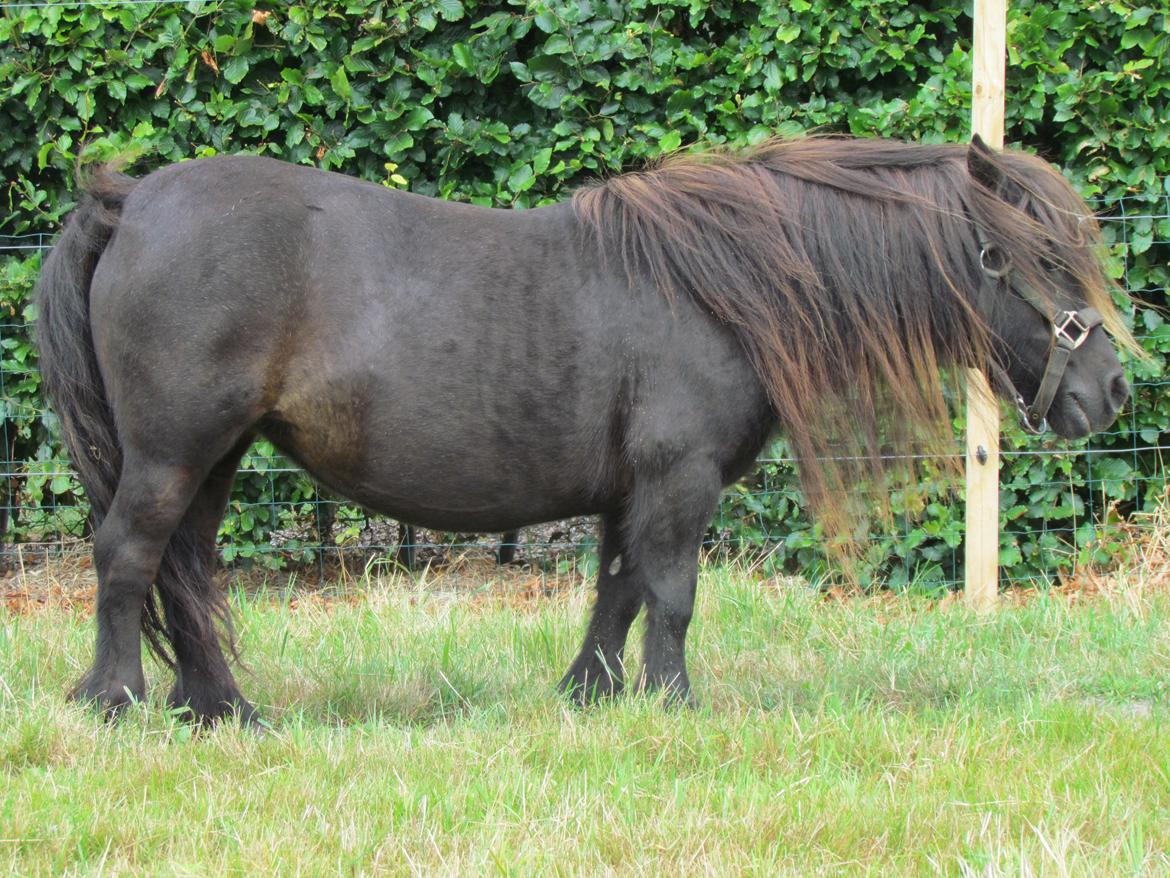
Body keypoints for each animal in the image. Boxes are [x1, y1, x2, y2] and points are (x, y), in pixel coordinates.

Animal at [38, 135, 1132, 721]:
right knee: (130, 555)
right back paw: (117, 699)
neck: (720, 288)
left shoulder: (631, 491)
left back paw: (224, 709)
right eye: (1032, 257)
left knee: (183, 569)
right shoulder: (679, 480)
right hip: (173, 453)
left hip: (214, 457)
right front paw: (676, 703)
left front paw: (593, 695)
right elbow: (673, 596)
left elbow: (618, 592)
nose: (1113, 392)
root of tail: (129, 201)